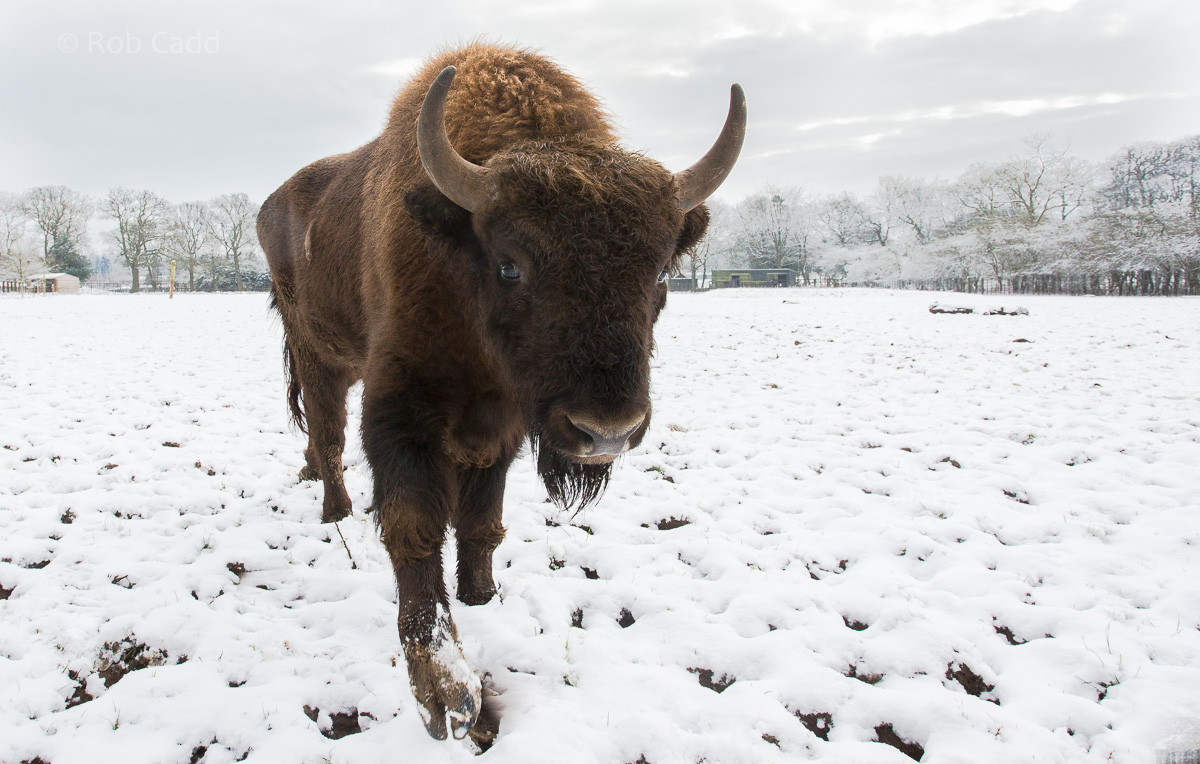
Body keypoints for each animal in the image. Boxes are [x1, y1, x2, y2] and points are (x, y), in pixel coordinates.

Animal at [257, 43, 745, 741]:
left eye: (659, 271)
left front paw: (482, 594)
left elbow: (482, 515)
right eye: (511, 262)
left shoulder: (506, 424)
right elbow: (414, 525)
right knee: (326, 433)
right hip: (317, 355)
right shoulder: (402, 408)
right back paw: (335, 511)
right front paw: (446, 694)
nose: (607, 431)